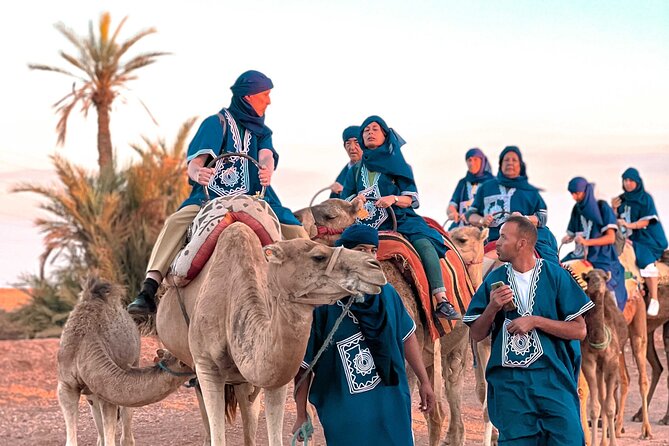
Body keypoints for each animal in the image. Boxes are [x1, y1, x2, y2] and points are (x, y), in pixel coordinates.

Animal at [155, 222, 387, 446]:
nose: (375, 267)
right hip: (195, 368)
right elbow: (217, 437)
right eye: (318, 256)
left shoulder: (275, 377)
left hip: (242, 380)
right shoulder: (206, 366)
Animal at [581, 269, 629, 446]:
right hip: (599, 370)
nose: (597, 284)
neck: (598, 339)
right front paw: (594, 443)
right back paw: (602, 442)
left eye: (603, 277)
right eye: (588, 278)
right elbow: (596, 407)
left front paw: (613, 443)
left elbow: (610, 407)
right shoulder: (588, 363)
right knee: (601, 399)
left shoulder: (612, 363)